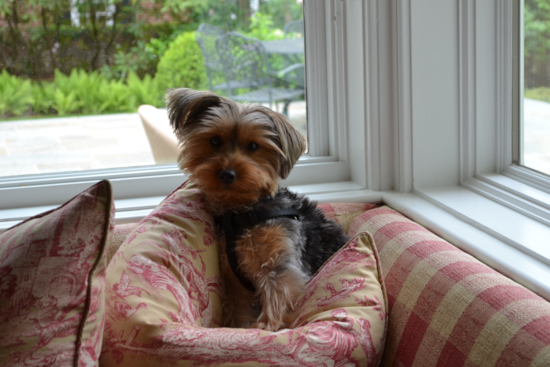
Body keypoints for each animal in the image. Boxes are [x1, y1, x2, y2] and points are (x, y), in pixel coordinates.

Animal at [166, 87, 352, 332]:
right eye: (214, 141)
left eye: (253, 146)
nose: (227, 173)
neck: (243, 212)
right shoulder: (234, 280)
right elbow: (238, 307)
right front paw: (238, 327)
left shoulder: (279, 265)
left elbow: (276, 293)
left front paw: (265, 327)